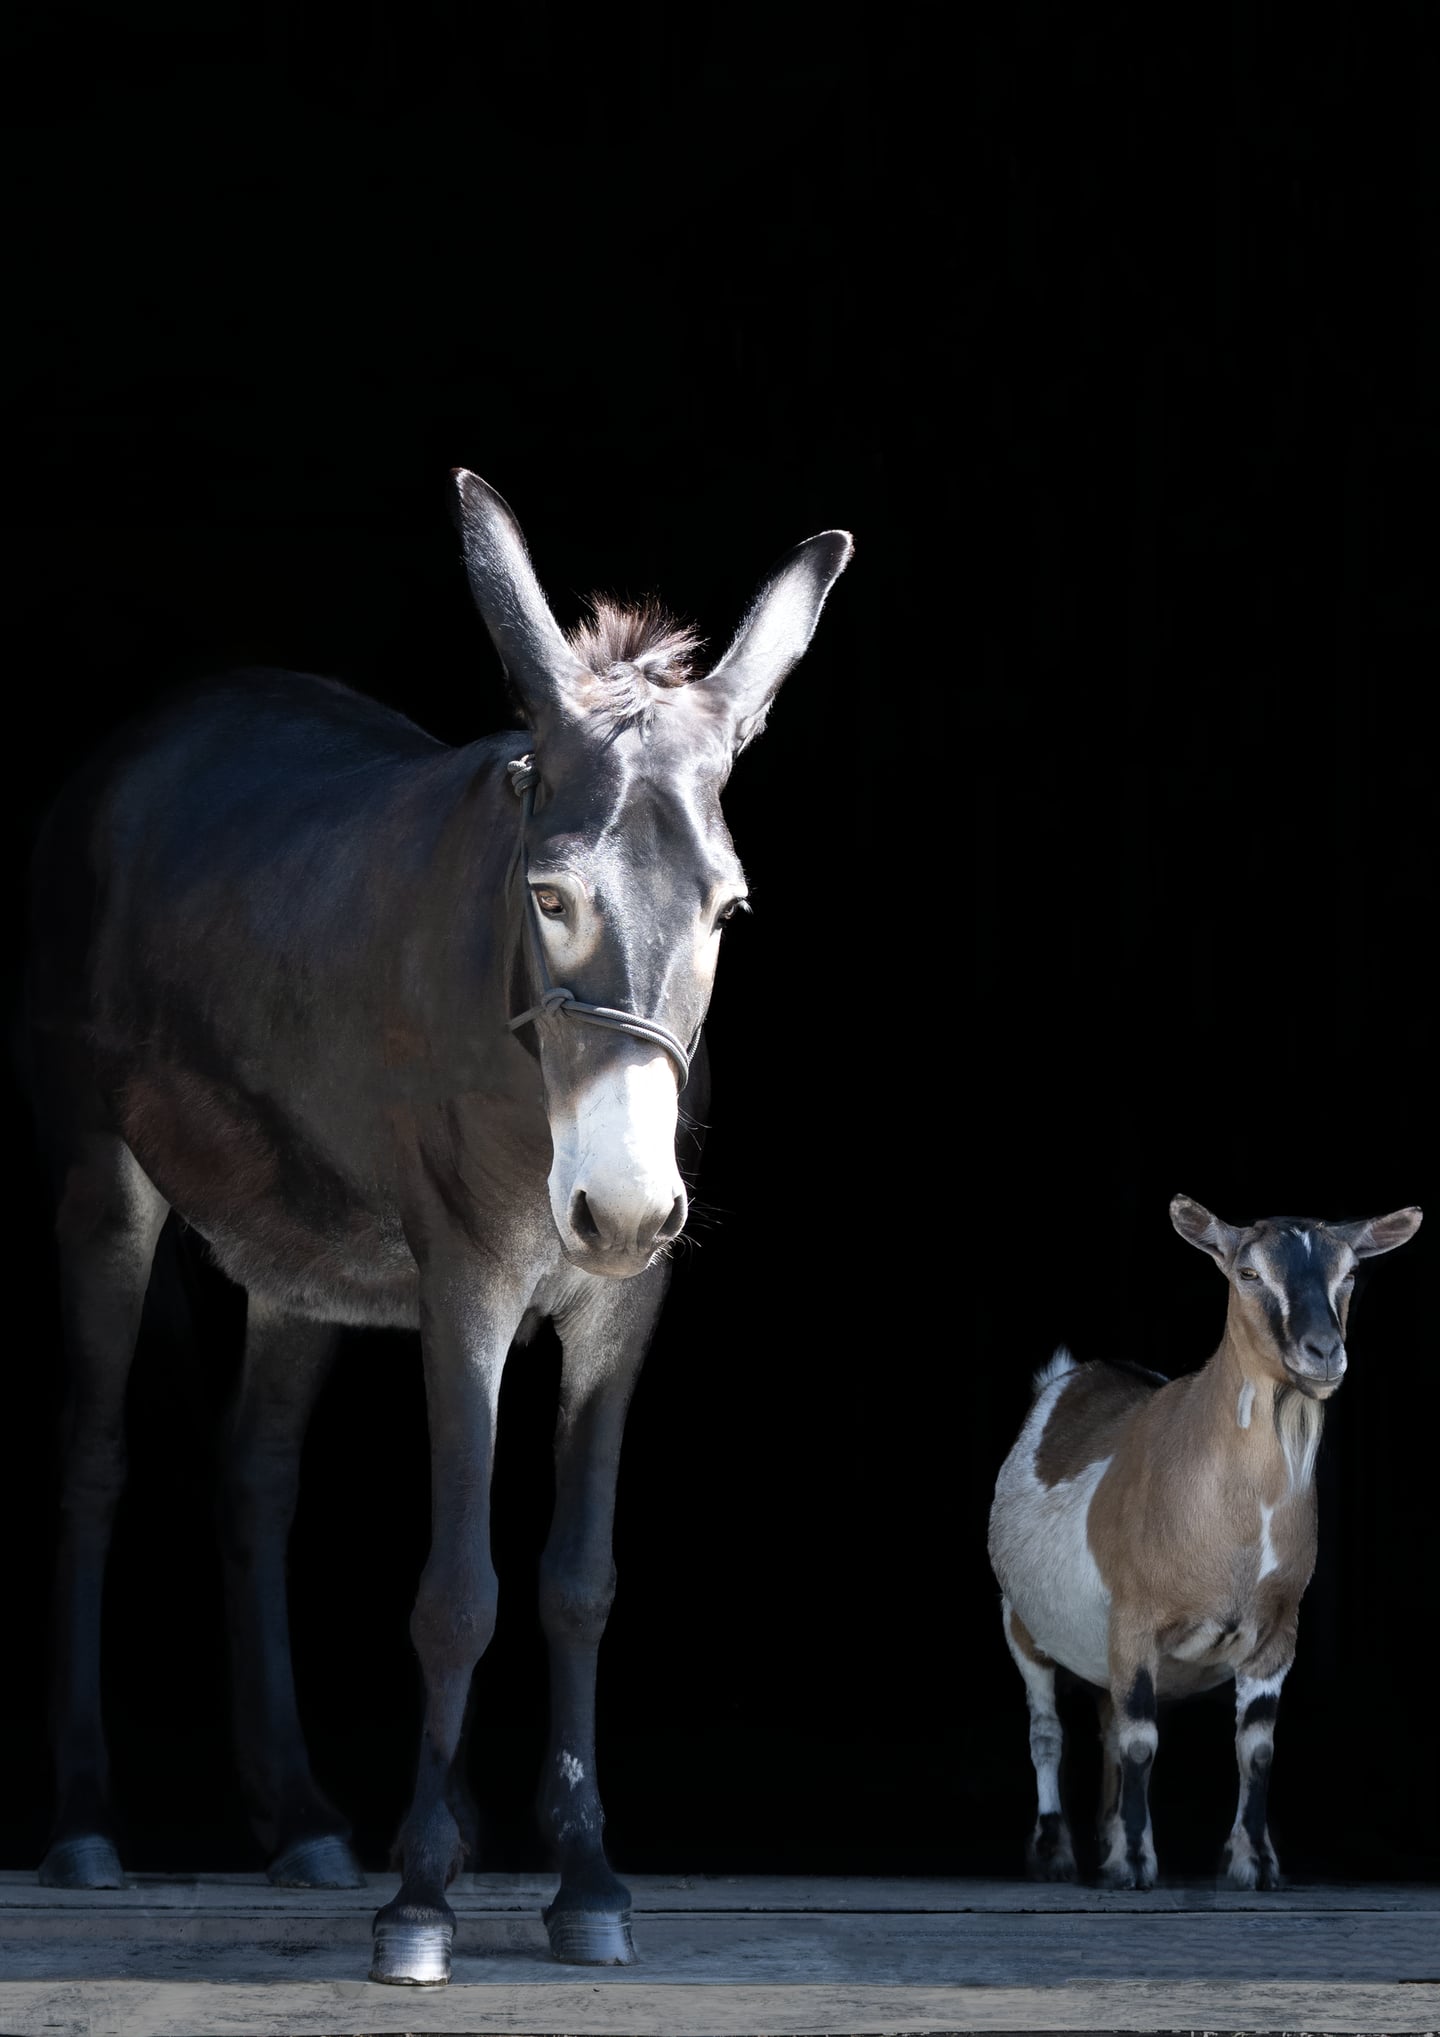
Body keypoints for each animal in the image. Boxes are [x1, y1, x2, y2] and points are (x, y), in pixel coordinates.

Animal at [988, 1195, 1421, 1889]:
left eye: (1350, 1272)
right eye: (1248, 1273)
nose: (1324, 1352)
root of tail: (1072, 1376)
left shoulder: (1277, 1633)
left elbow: (1256, 1747)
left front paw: (1253, 1863)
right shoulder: (1134, 1620)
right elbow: (1141, 1740)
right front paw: (1136, 1864)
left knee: (1107, 1728)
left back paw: (1105, 1839)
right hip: (1019, 1621)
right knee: (1048, 1730)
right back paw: (1054, 1854)